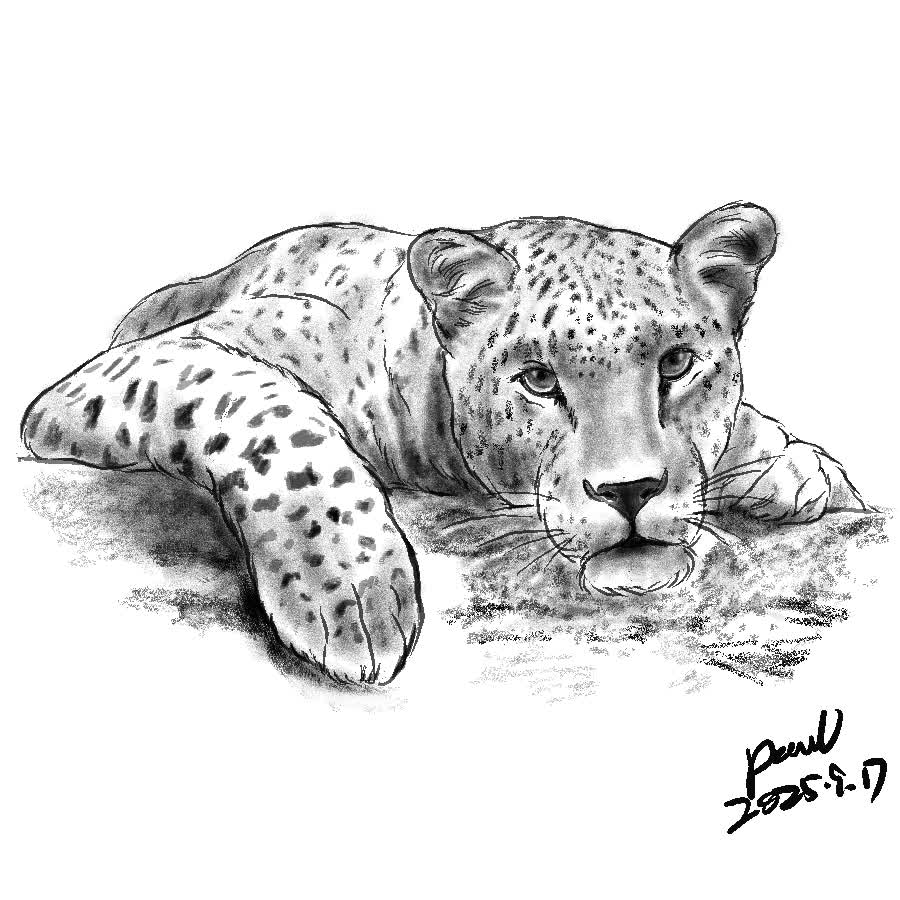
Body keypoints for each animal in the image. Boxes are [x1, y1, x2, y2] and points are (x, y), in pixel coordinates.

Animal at [20, 202, 865, 684]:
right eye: (538, 380)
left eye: (678, 365)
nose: (629, 491)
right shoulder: (149, 363)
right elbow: (266, 410)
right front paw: (353, 595)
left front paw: (791, 462)